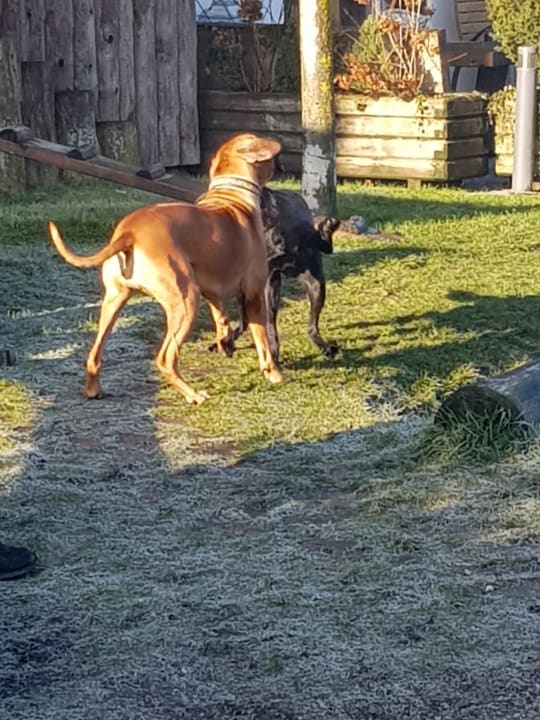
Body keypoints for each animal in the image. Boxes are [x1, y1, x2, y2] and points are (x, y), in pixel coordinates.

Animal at [47, 133, 284, 405]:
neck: (232, 196)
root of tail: (129, 232)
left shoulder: (210, 289)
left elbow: (220, 316)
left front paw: (225, 341)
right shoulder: (254, 295)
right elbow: (263, 340)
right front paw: (275, 373)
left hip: (114, 300)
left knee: (94, 355)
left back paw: (93, 389)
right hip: (185, 302)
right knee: (166, 359)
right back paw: (193, 394)